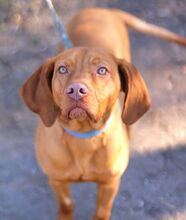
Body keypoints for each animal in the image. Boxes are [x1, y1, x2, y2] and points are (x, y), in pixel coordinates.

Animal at [21, 7, 186, 220]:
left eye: (102, 70)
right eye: (62, 69)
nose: (76, 90)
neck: (83, 136)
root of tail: (104, 9)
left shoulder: (110, 184)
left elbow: (101, 211)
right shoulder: (56, 180)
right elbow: (66, 204)